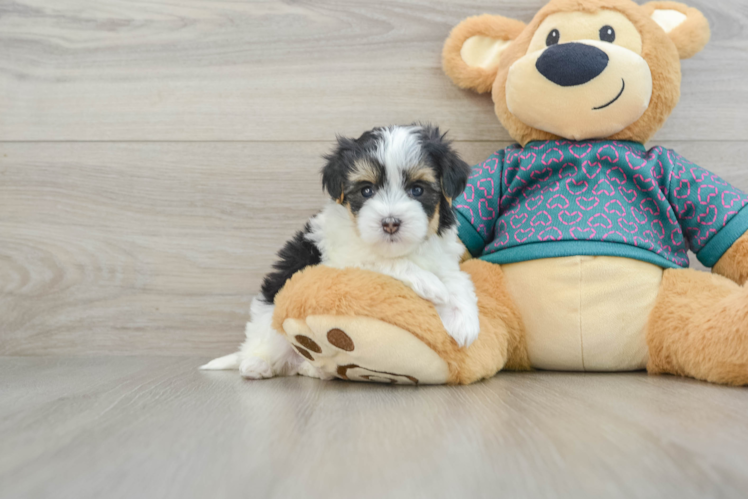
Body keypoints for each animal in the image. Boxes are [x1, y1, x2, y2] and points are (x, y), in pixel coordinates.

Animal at [200, 125, 480, 378]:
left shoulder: (442, 257)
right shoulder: (343, 259)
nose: (390, 223)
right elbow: (381, 261)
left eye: (417, 189)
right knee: (263, 345)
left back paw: (311, 368)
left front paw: (463, 321)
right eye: (366, 190)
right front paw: (430, 284)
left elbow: (458, 281)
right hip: (269, 326)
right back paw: (257, 365)